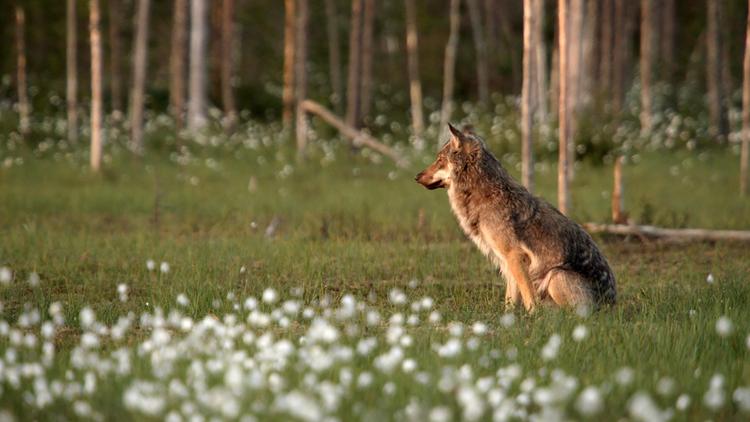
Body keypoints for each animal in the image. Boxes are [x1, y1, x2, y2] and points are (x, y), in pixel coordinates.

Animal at [418, 123, 616, 312]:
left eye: (439, 160)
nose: (416, 176)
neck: (482, 196)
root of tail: (612, 306)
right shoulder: (507, 262)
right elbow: (510, 301)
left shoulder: (515, 257)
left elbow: (529, 298)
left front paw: (534, 318)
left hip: (555, 275)